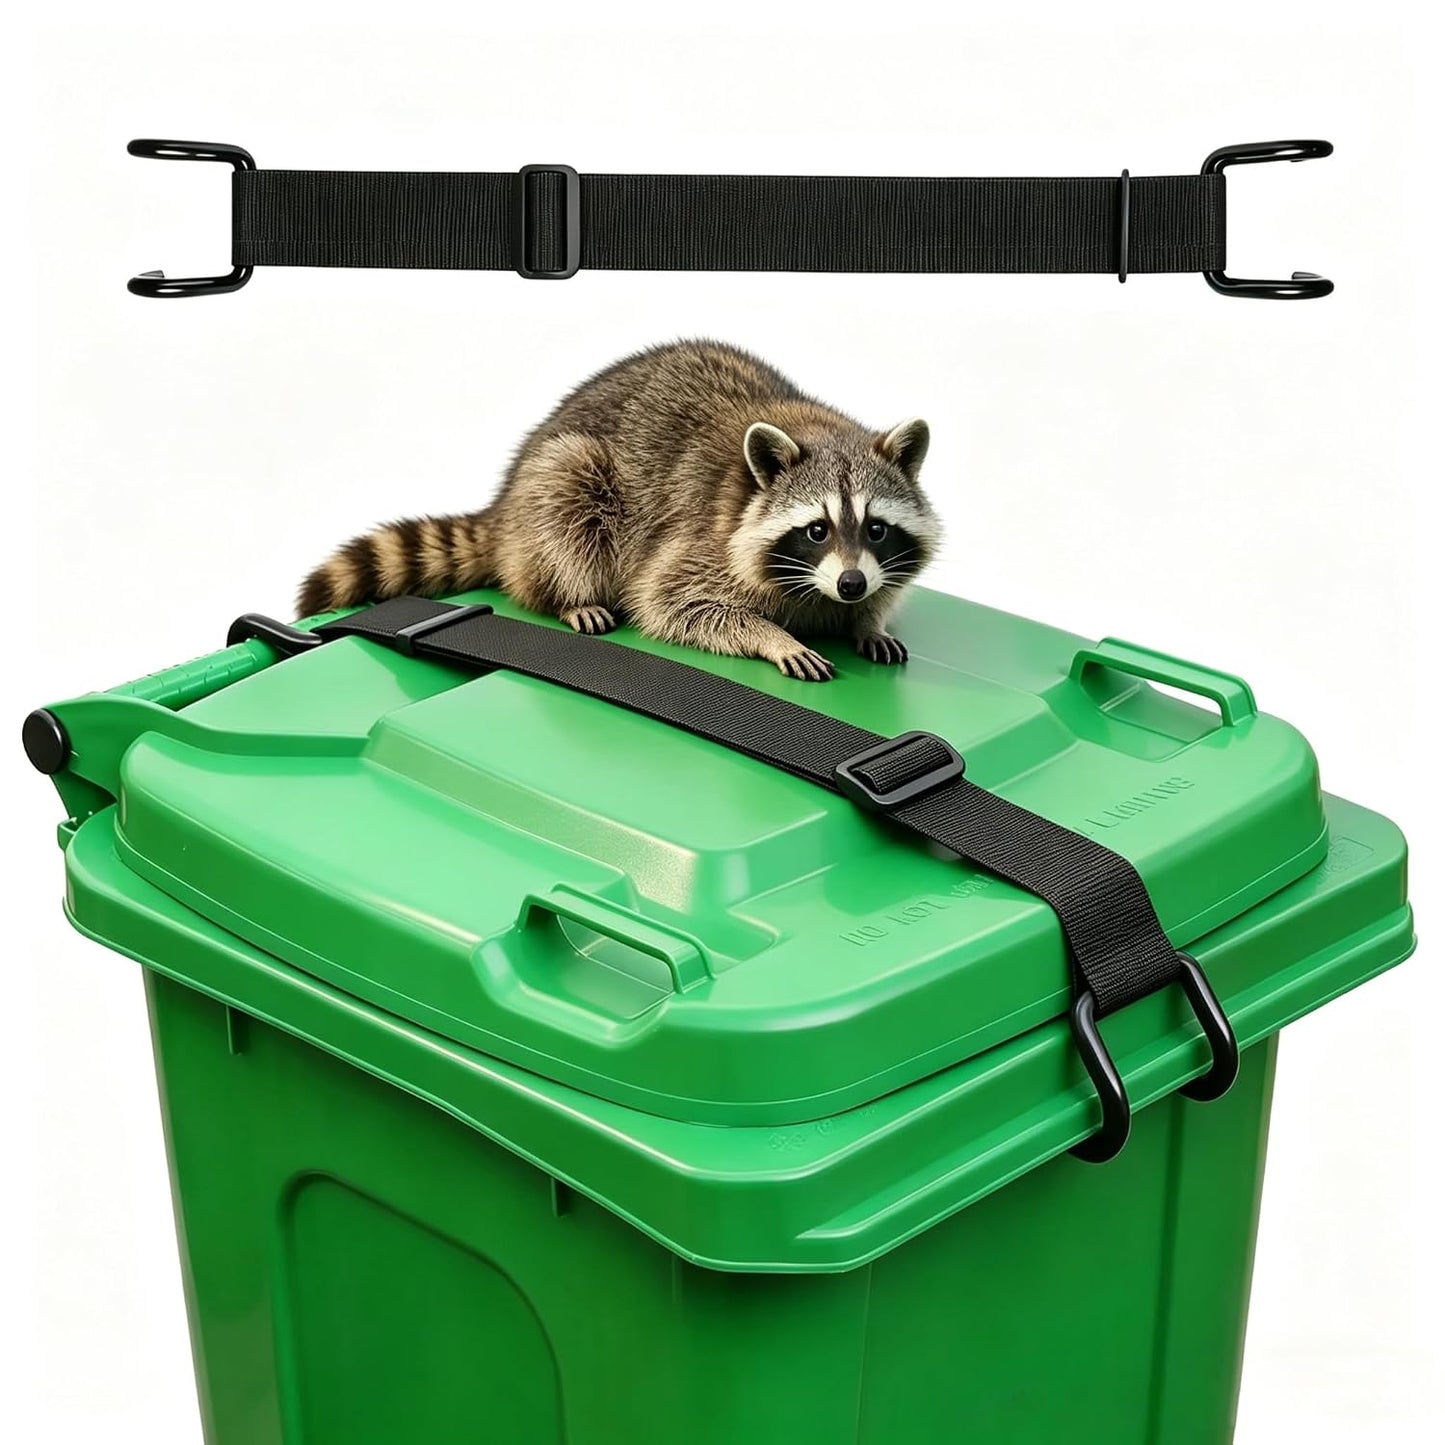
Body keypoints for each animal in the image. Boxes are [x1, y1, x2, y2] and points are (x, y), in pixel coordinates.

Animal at [298, 340, 942, 681]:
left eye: (877, 529)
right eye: (816, 529)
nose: (852, 584)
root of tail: (505, 504)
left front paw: (869, 620)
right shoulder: (702, 538)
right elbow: (673, 602)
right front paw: (770, 634)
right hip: (562, 479)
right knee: (567, 502)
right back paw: (571, 595)